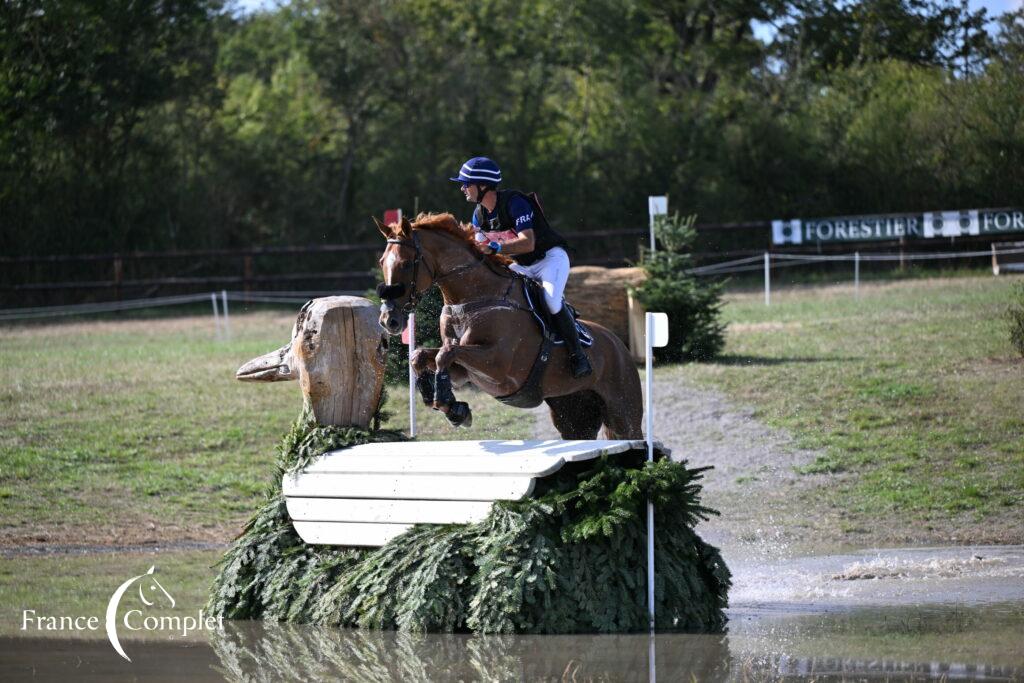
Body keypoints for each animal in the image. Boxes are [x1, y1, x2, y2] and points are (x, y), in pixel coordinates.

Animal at [376, 211, 638, 438]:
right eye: (381, 262)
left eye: (406, 264)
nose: (389, 320)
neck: (472, 298)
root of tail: (619, 345)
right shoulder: (465, 370)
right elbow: (421, 355)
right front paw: (450, 406)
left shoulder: (498, 366)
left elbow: (445, 354)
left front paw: (451, 406)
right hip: (574, 413)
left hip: (623, 412)